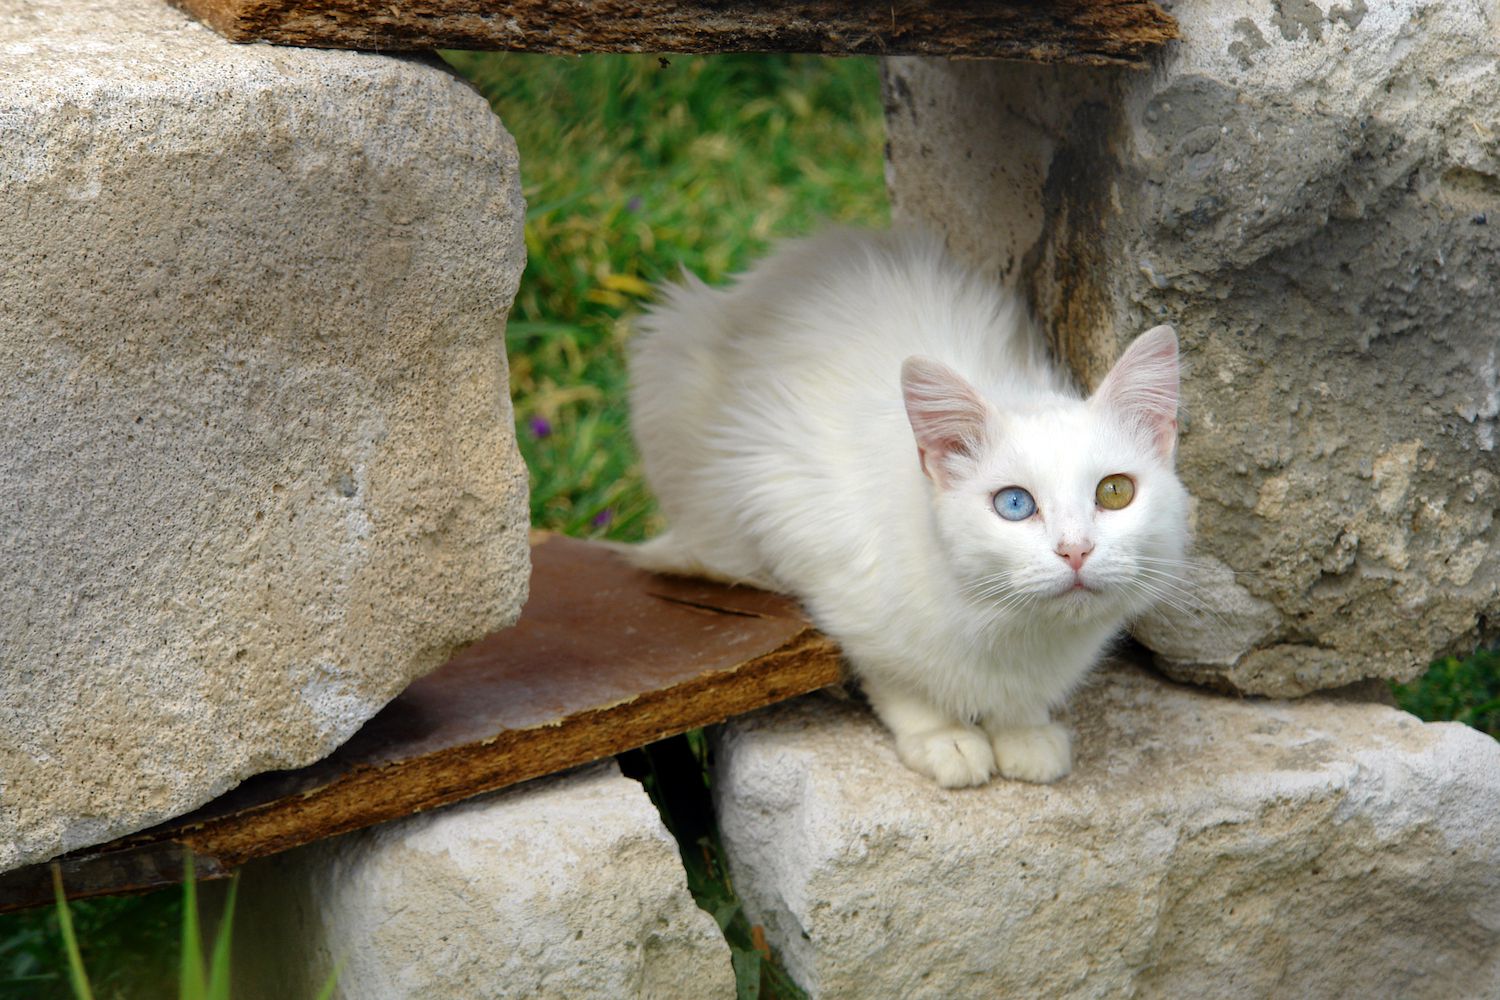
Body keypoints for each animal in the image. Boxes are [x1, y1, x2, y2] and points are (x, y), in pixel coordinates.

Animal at [627, 229, 1188, 791]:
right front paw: (946, 740)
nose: (1076, 551)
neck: (1013, 628)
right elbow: (899, 682)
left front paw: (1023, 732)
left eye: (1114, 492)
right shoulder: (812, 547)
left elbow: (1019, 704)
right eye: (1014, 504)